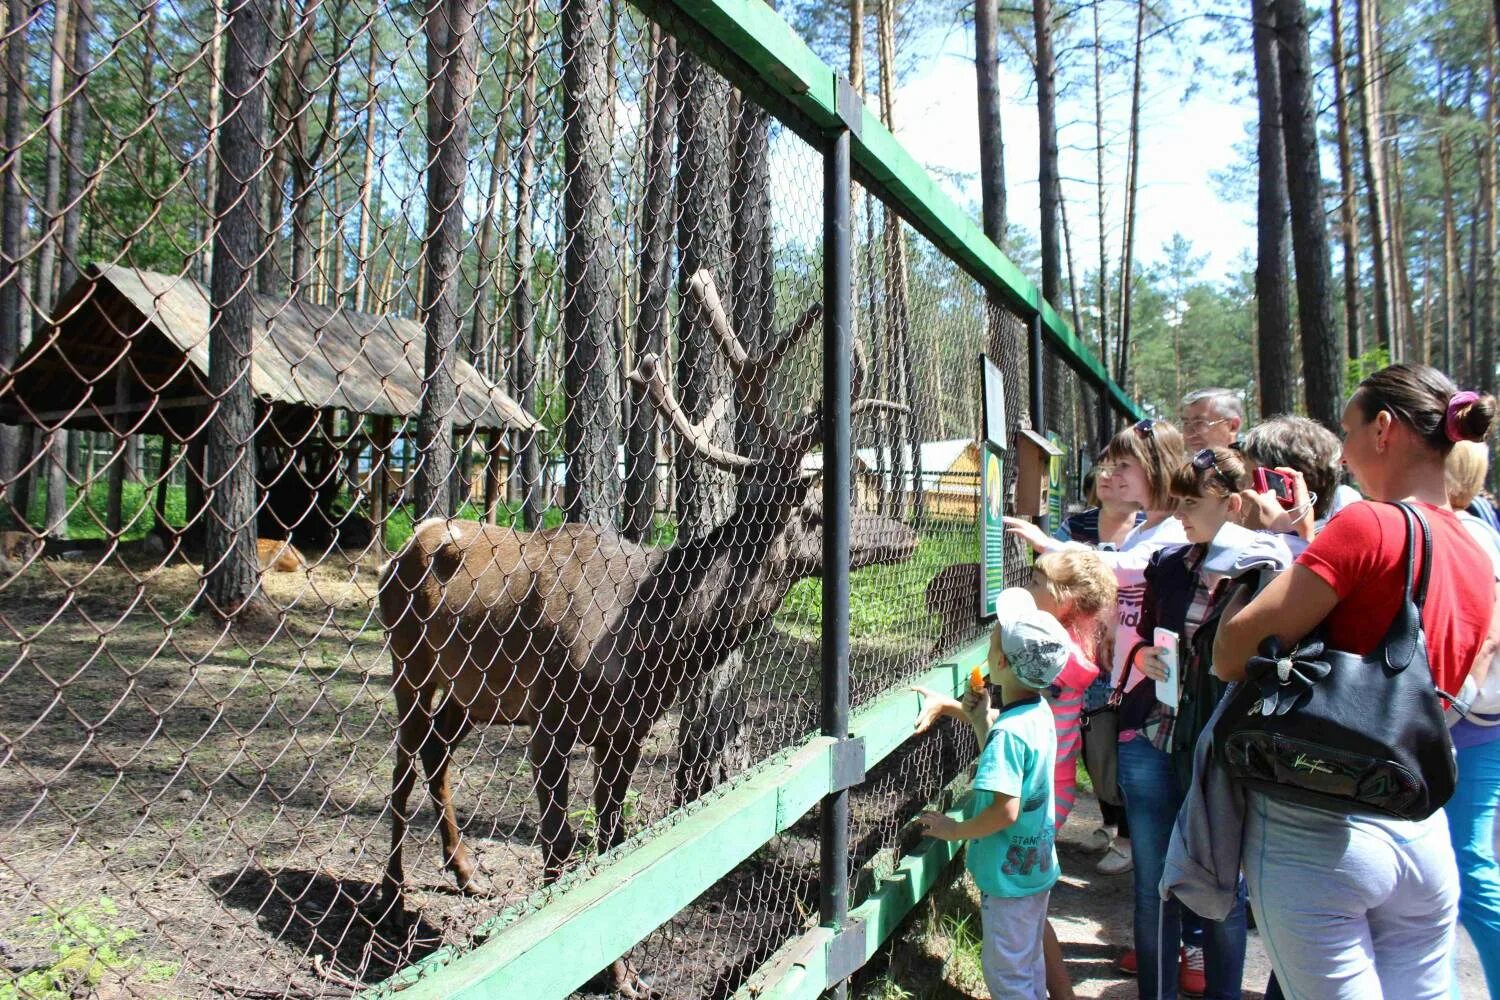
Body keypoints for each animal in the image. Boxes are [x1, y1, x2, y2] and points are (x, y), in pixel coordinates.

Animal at [378, 269, 912, 917]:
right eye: (813, 510)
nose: (906, 534)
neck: (653, 645)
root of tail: (402, 550)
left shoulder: (627, 731)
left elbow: (613, 839)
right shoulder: (548, 720)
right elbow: (559, 848)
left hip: (471, 692)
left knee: (435, 755)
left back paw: (465, 875)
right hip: (409, 662)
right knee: (404, 761)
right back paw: (394, 892)